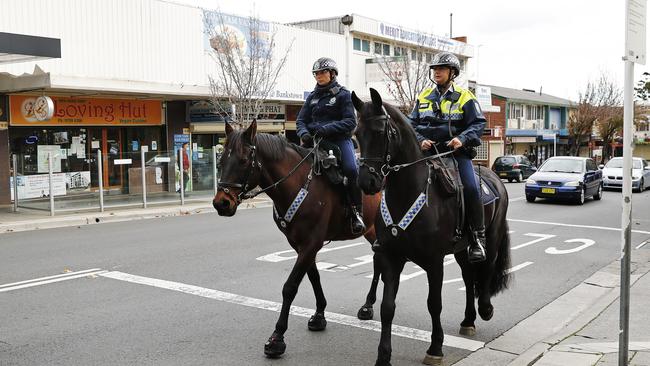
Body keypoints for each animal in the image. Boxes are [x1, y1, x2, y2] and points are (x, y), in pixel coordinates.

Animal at [213, 120, 382, 358]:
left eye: (244, 160)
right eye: (221, 160)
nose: (221, 203)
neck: (298, 184)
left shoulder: (311, 243)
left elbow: (290, 286)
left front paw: (277, 337)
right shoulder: (300, 244)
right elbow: (314, 277)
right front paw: (319, 315)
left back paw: (368, 306)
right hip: (371, 231)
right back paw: (368, 305)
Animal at [350, 89, 512, 366]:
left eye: (382, 132)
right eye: (357, 134)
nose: (367, 182)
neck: (408, 195)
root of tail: (494, 178)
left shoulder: (434, 262)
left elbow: (434, 303)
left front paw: (435, 348)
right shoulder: (391, 257)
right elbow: (387, 307)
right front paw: (383, 355)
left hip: (491, 237)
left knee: (487, 267)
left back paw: (485, 309)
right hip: (461, 249)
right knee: (468, 277)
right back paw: (468, 319)